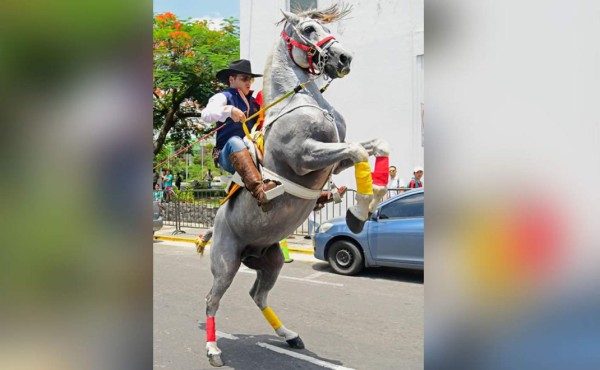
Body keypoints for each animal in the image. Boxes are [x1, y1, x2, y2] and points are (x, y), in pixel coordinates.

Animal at [202, 3, 390, 368]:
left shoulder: (333, 158)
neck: (299, 102)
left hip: (272, 262)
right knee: (211, 299)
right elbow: (359, 150)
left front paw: (371, 198)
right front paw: (359, 212)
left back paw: (289, 335)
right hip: (226, 263)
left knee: (257, 295)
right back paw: (213, 348)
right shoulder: (305, 155)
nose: (344, 58)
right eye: (308, 28)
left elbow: (374, 147)